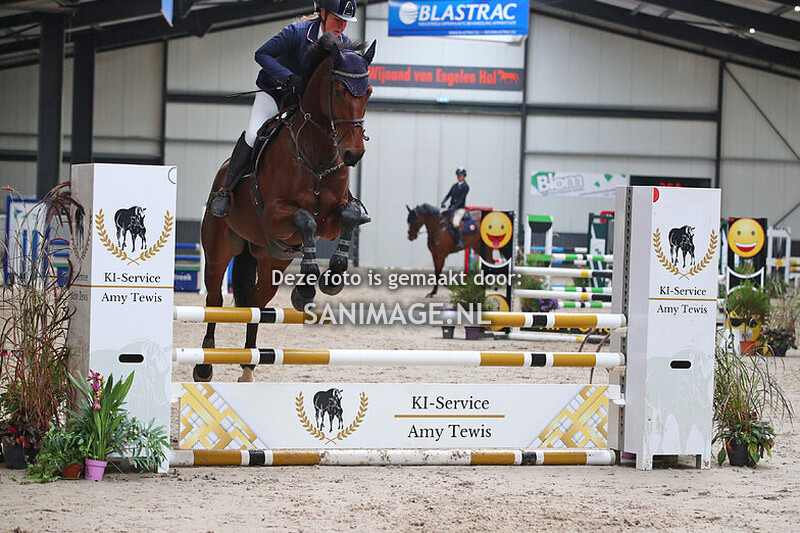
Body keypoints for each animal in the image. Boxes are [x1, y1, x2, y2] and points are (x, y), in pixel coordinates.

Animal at [195, 34, 376, 383]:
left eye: (369, 91)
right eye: (338, 91)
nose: (354, 154)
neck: (318, 154)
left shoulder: (333, 219)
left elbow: (347, 216)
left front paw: (330, 279)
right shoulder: (275, 214)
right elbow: (305, 219)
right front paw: (306, 287)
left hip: (271, 260)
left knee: (257, 303)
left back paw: (249, 366)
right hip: (219, 248)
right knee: (214, 299)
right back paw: (204, 364)